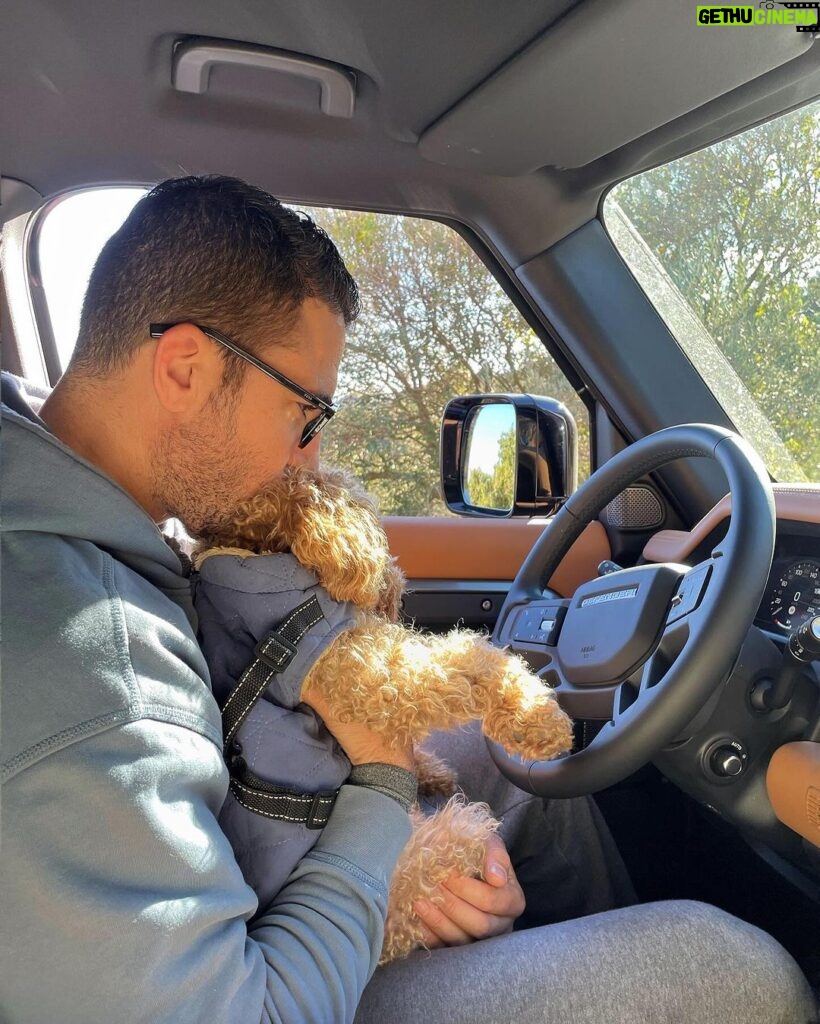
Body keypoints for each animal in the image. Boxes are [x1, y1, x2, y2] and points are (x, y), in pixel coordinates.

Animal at [195, 464, 573, 958]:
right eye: (376, 528)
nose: (399, 591)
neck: (260, 561)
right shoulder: (377, 678)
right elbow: (473, 660)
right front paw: (540, 720)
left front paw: (431, 770)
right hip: (433, 858)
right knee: (468, 831)